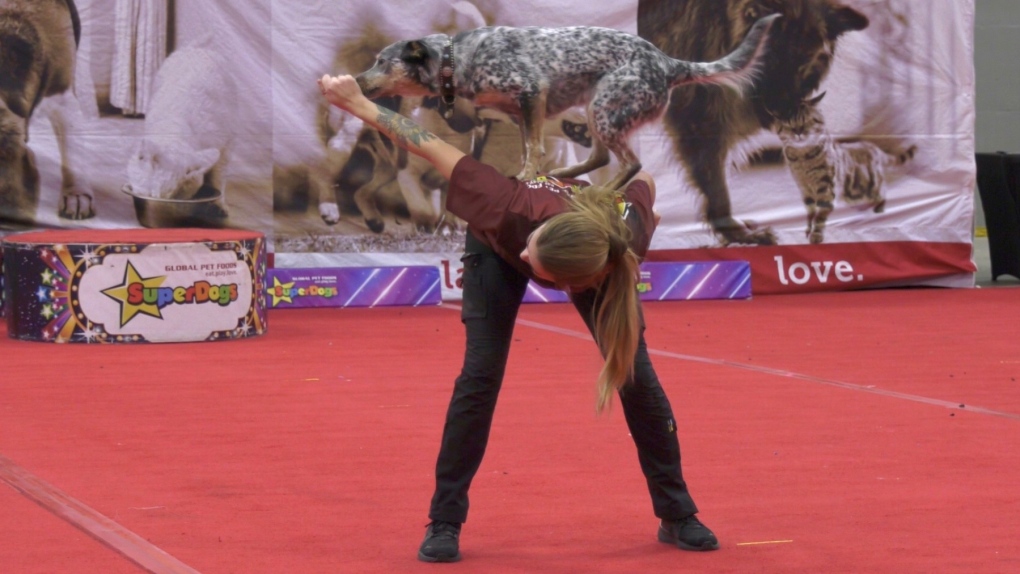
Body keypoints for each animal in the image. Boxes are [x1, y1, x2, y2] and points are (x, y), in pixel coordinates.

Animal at [354, 14, 775, 190]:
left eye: (382, 61)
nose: (355, 80)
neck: (456, 59)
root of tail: (669, 62)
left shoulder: (530, 93)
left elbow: (533, 150)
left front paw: (525, 177)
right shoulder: (520, 113)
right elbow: (529, 147)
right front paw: (530, 173)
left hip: (604, 110)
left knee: (630, 164)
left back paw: (603, 191)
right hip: (594, 110)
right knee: (601, 158)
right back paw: (568, 174)